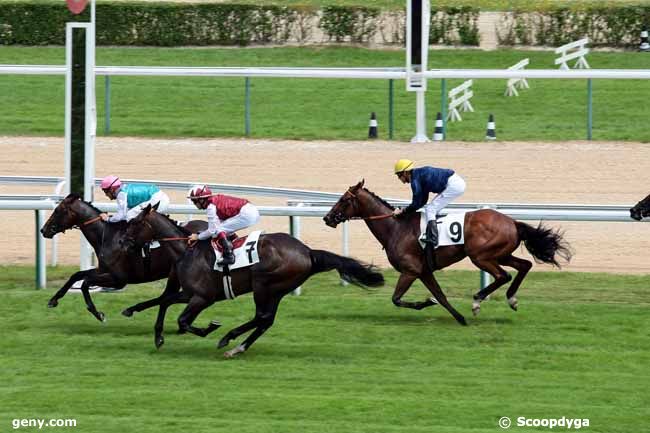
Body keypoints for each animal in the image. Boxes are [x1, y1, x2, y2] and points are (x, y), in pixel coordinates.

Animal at [39, 192, 206, 320]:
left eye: (58, 210)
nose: (43, 230)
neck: (107, 236)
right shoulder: (103, 270)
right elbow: (76, 275)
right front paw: (53, 300)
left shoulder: (119, 279)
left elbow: (85, 283)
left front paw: (98, 314)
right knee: (167, 296)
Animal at [124, 204, 382, 356]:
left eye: (135, 223)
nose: (123, 242)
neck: (187, 250)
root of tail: (308, 252)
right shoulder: (188, 293)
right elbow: (165, 302)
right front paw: (158, 337)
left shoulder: (203, 297)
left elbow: (183, 320)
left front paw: (210, 328)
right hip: (278, 290)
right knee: (266, 320)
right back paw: (238, 346)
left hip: (263, 284)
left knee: (261, 316)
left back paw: (228, 339)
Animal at [322, 180, 568, 320]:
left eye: (343, 200)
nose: (327, 218)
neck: (395, 228)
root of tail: (513, 222)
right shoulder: (424, 271)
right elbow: (440, 296)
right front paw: (458, 318)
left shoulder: (411, 271)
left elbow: (396, 299)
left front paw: (427, 303)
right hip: (501, 253)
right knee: (524, 265)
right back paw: (511, 299)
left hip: (481, 256)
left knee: (503, 275)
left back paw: (478, 300)